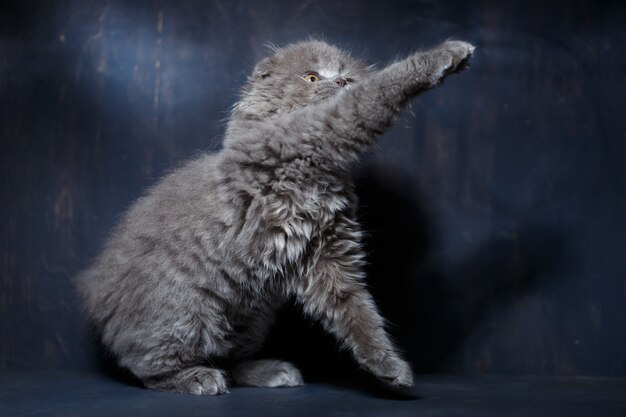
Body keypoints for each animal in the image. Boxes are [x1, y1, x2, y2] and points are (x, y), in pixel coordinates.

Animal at [74, 38, 472, 394]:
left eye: (347, 77)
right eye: (312, 77)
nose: (340, 84)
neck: (324, 176)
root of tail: (95, 296)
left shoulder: (328, 255)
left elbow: (357, 312)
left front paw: (387, 366)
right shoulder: (317, 130)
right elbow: (373, 95)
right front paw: (447, 55)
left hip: (252, 316)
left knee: (230, 359)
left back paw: (269, 372)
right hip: (184, 312)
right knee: (148, 367)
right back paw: (195, 378)